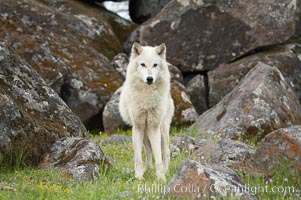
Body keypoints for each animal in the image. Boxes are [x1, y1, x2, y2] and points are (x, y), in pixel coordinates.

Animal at [118, 42, 173, 181]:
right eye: (142, 64)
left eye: (155, 65)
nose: (149, 79)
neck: (147, 99)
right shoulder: (138, 127)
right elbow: (138, 157)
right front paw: (139, 177)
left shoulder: (154, 127)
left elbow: (158, 157)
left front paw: (161, 178)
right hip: (144, 132)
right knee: (148, 151)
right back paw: (147, 170)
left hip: (162, 130)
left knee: (166, 152)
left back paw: (166, 171)